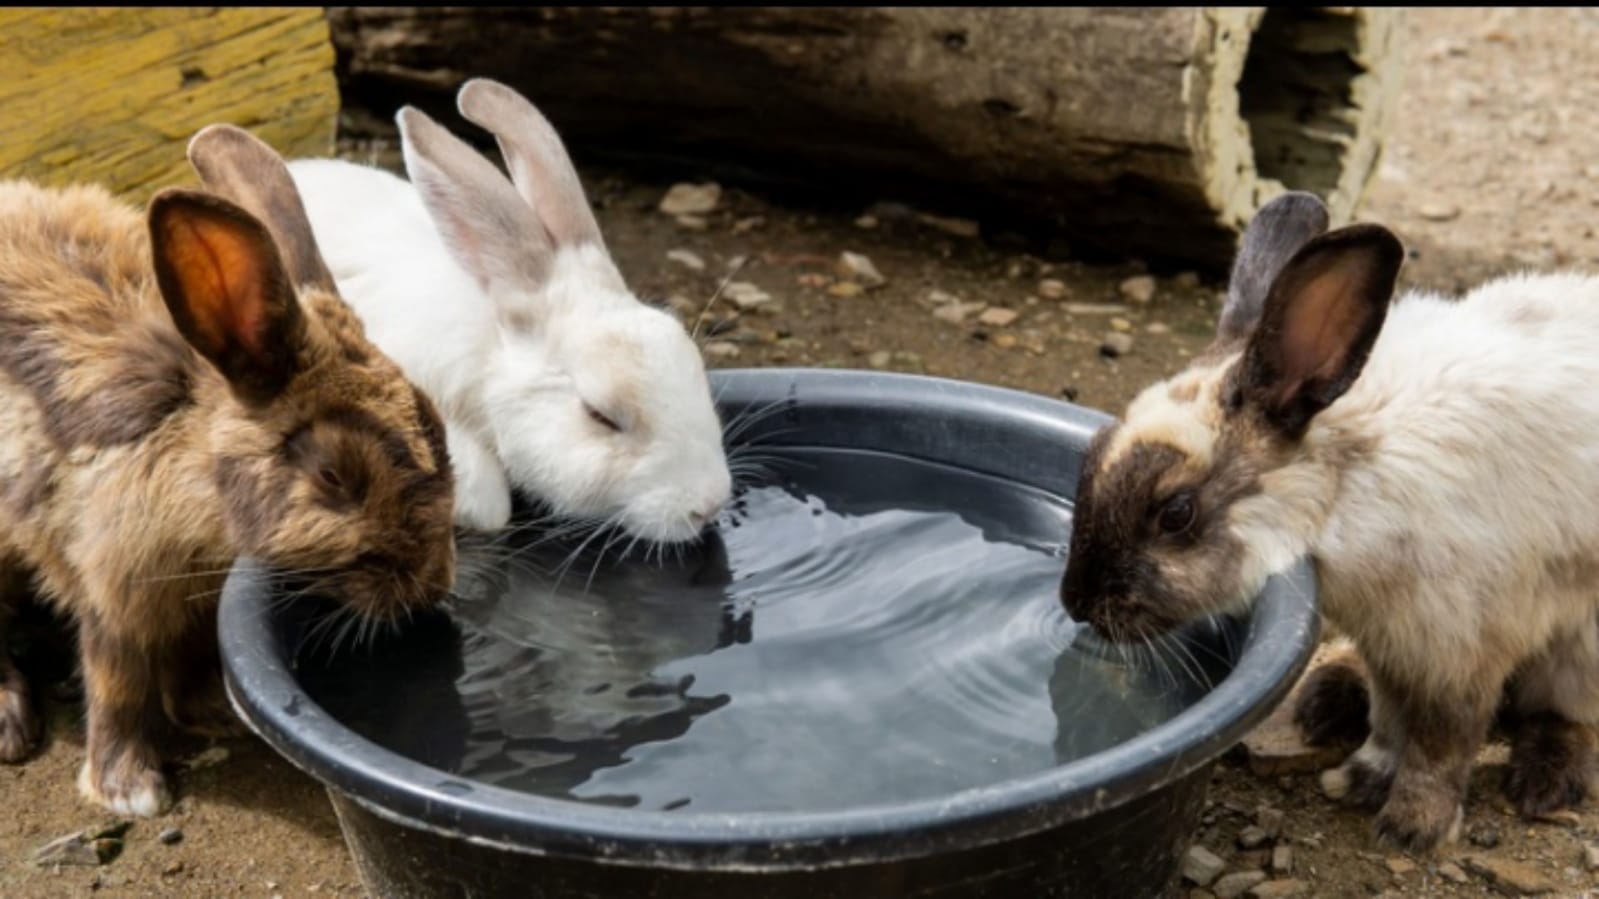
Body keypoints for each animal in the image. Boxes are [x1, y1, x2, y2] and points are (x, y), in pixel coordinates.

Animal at [0, 123, 457, 817]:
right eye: (334, 476)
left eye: (435, 420)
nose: (434, 586)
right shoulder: (113, 585)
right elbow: (117, 683)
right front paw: (129, 790)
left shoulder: (196, 599)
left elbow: (191, 657)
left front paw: (216, 711)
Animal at [1058, 188, 1599, 852]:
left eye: (1176, 513)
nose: (1076, 603)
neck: (1345, 486)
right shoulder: (1392, 648)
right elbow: (1391, 722)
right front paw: (1362, 778)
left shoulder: (1460, 651)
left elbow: (1440, 745)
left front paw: (1411, 827)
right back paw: (1328, 698)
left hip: (1580, 648)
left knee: (1566, 715)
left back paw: (1545, 781)